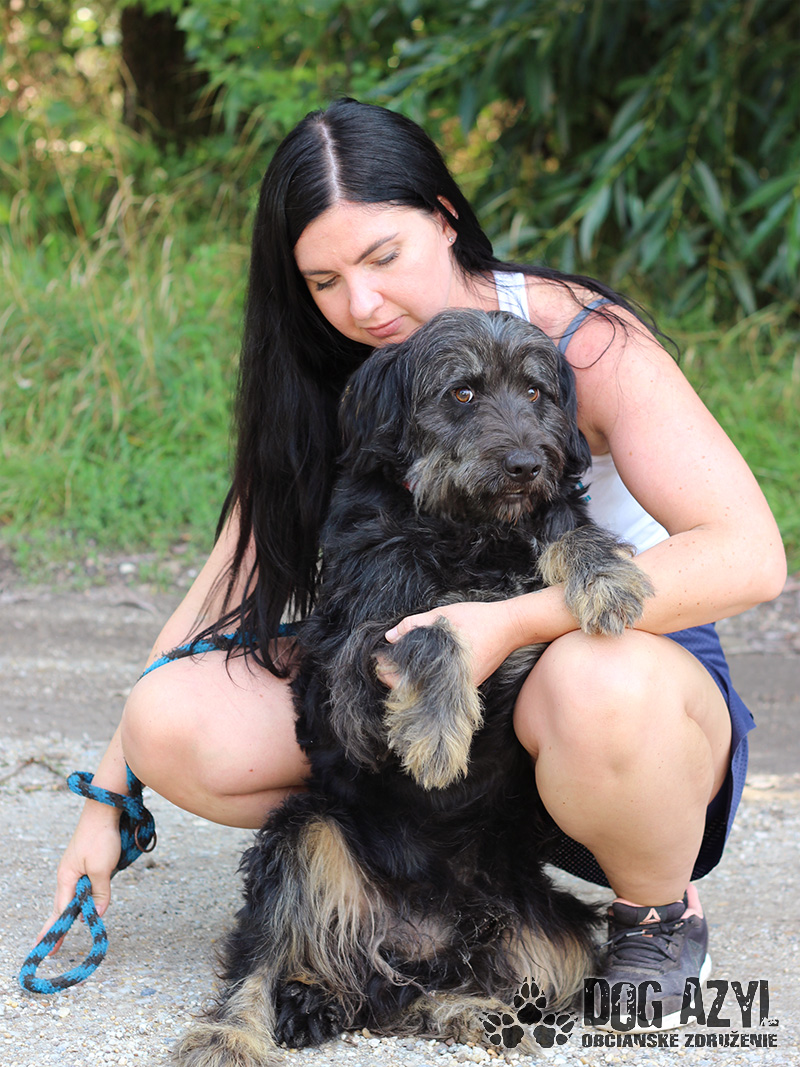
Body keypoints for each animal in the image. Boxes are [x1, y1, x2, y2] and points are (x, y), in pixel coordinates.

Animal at [173, 309, 654, 1066]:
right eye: (462, 392)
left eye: (536, 391)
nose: (527, 464)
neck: (466, 528)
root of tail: (414, 941)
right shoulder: (353, 656)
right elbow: (436, 630)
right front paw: (434, 730)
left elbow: (561, 526)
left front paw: (604, 571)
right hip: (306, 837)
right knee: (264, 960)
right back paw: (232, 1033)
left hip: (554, 933)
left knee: (429, 996)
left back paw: (481, 1015)